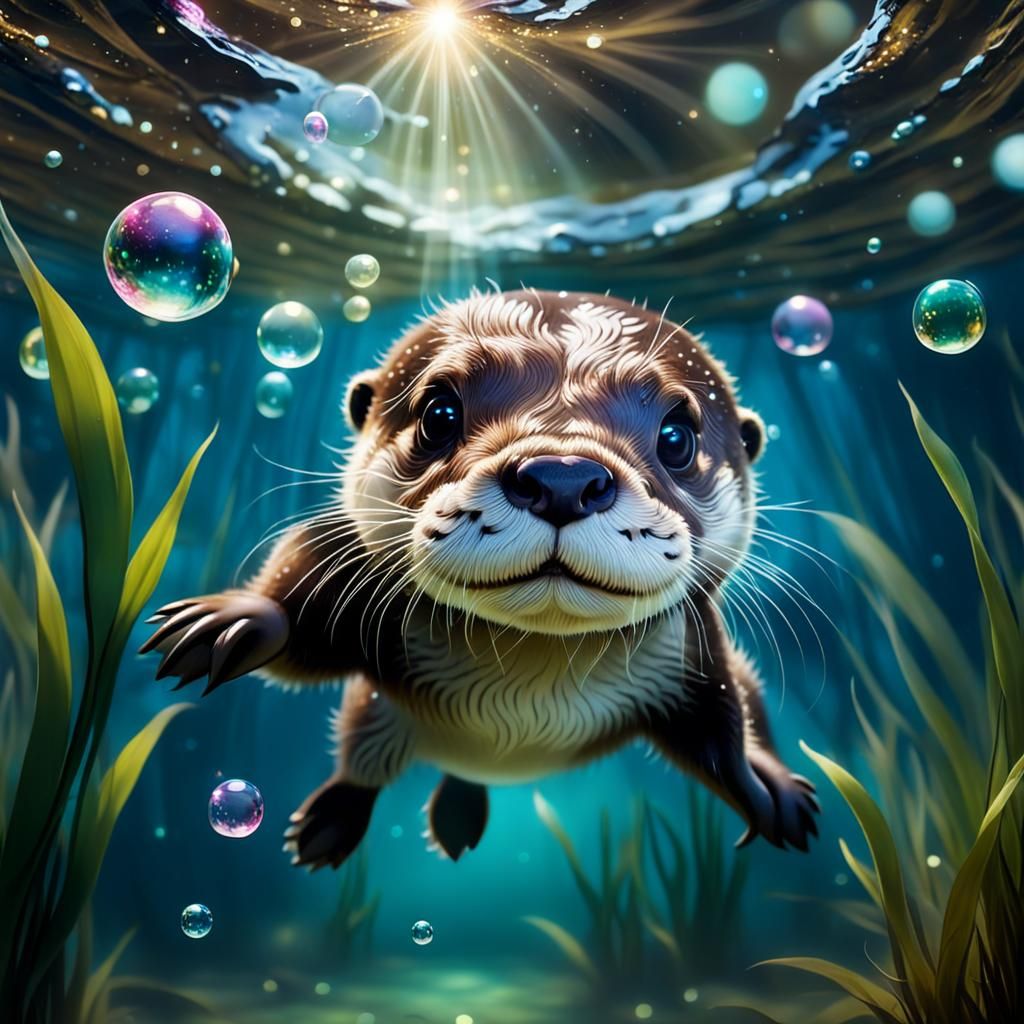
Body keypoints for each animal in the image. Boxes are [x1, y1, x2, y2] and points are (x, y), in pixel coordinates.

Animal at [142, 289, 819, 868]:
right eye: (439, 414)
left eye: (677, 436)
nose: (563, 476)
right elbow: (298, 620)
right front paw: (234, 619)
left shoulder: (691, 656)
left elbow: (721, 729)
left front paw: (761, 786)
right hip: (375, 719)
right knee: (360, 765)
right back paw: (331, 823)